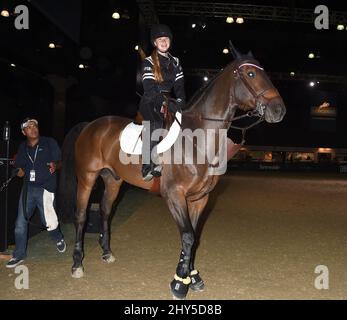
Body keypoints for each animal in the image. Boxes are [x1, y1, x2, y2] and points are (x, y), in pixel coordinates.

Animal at [59, 45, 286, 300]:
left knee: (106, 211)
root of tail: (90, 125)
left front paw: (192, 276)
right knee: (81, 216)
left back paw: (107, 253)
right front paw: (179, 282)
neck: (198, 139)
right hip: (87, 179)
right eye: (251, 74)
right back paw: (77, 264)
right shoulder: (174, 195)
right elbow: (187, 236)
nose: (279, 109)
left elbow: (194, 237)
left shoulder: (199, 198)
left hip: (113, 180)